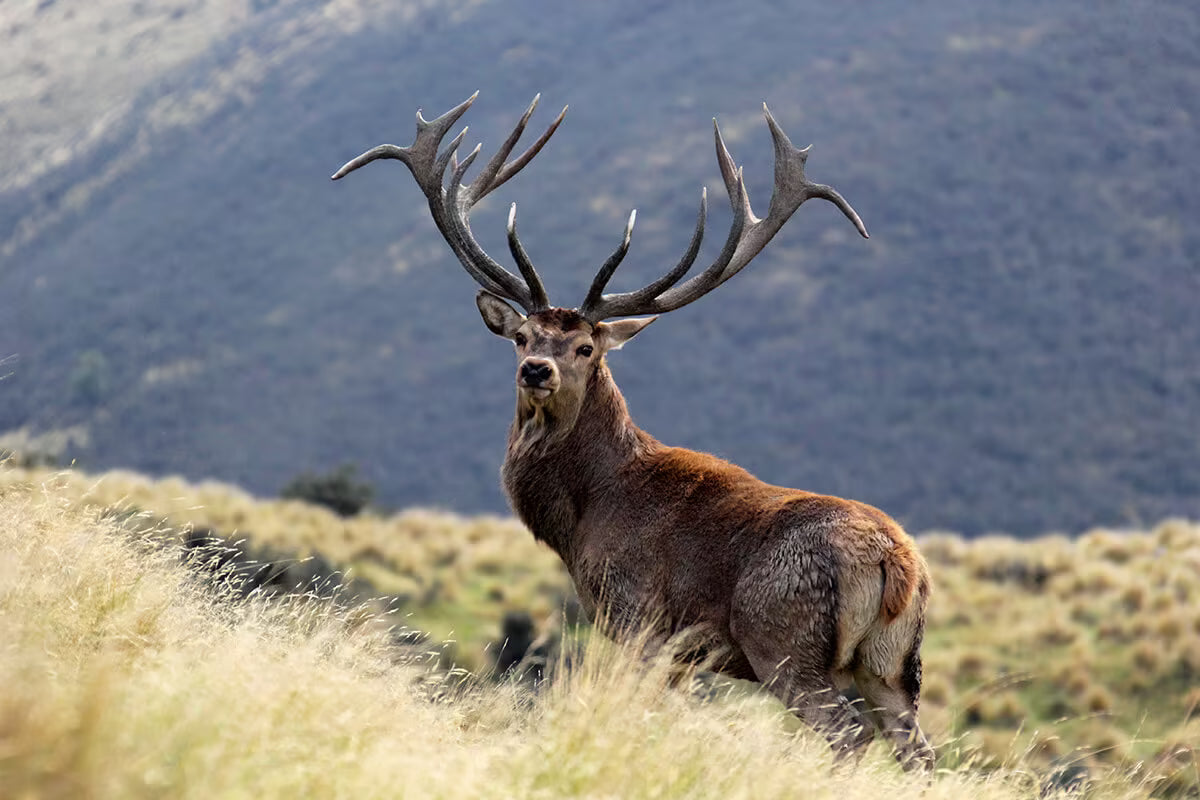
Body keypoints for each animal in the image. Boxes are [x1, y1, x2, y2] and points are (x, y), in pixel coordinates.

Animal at [332, 93, 934, 770]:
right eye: (522, 335)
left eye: (586, 347)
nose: (535, 369)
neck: (584, 516)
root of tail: (897, 562)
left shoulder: (637, 618)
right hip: (894, 666)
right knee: (919, 753)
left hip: (785, 641)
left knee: (848, 740)